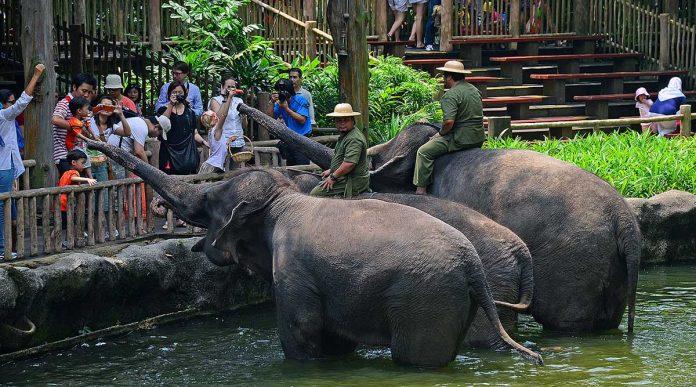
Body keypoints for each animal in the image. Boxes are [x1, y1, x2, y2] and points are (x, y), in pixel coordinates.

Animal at [87, 138, 544, 368]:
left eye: (208, 203)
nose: (159, 209)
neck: (286, 198)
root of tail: (472, 266)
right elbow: (336, 339)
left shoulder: (292, 271)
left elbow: (301, 333)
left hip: (426, 299)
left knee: (416, 357)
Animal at [239, 102, 640, 334]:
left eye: (375, 157)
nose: (240, 102)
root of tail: (625, 221)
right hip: (608, 266)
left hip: (574, 262)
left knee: (567, 324)